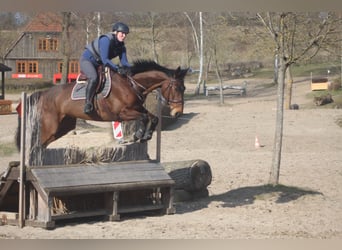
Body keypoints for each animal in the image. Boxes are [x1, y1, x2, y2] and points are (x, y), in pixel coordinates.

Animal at [14, 59, 188, 150]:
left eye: (184, 88)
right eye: (176, 88)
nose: (178, 113)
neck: (132, 84)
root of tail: (43, 94)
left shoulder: (137, 108)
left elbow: (152, 117)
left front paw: (145, 135)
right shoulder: (122, 113)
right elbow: (144, 117)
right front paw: (140, 135)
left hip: (62, 127)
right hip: (50, 126)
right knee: (36, 143)